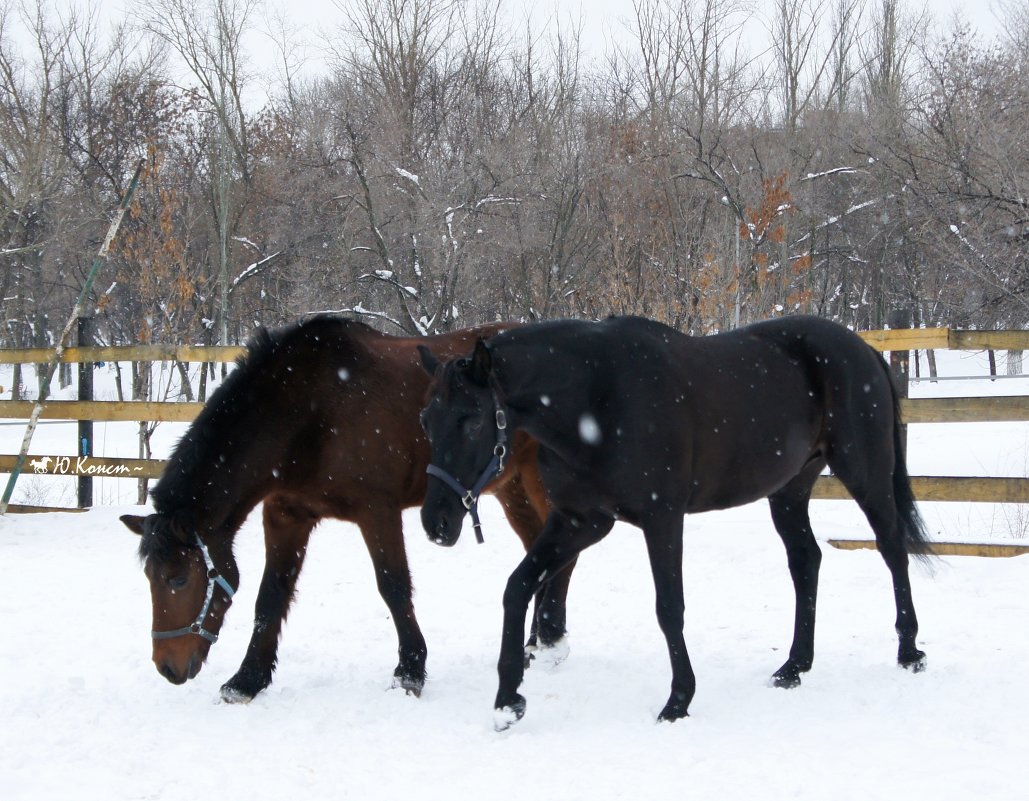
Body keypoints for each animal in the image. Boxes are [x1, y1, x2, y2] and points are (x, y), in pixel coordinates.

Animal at [120, 315, 563, 704]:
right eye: (149, 577)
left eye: (178, 579)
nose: (168, 667)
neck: (310, 409)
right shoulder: (285, 515)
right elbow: (271, 595)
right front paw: (247, 680)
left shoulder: (377, 511)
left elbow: (393, 587)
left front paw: (410, 671)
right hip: (511, 488)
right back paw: (535, 640)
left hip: (540, 482)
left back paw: (549, 638)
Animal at [417, 315, 934, 728]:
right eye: (426, 420)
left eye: (470, 419)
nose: (435, 522)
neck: (595, 397)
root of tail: (863, 349)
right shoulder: (580, 521)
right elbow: (517, 587)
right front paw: (508, 700)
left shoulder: (661, 519)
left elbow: (669, 608)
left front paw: (678, 700)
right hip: (789, 491)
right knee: (806, 562)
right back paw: (793, 667)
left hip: (865, 474)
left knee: (893, 550)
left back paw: (909, 652)